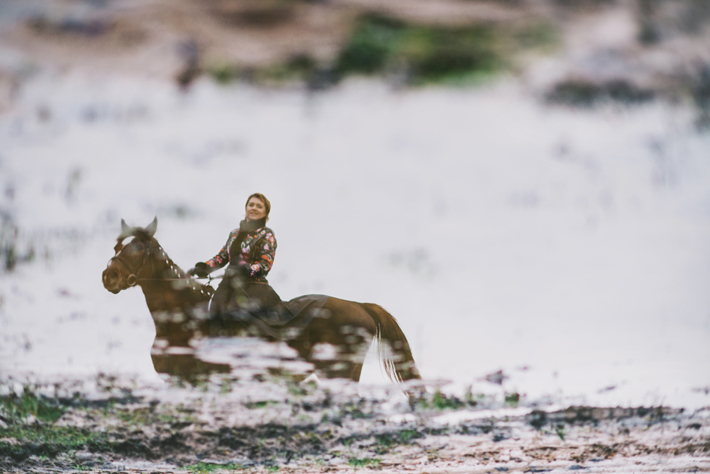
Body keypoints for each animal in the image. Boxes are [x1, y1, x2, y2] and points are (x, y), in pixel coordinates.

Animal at [103, 217, 420, 386]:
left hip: (340, 373)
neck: (184, 321)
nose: (109, 277)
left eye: (139, 248)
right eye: (117, 246)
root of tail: (362, 306)